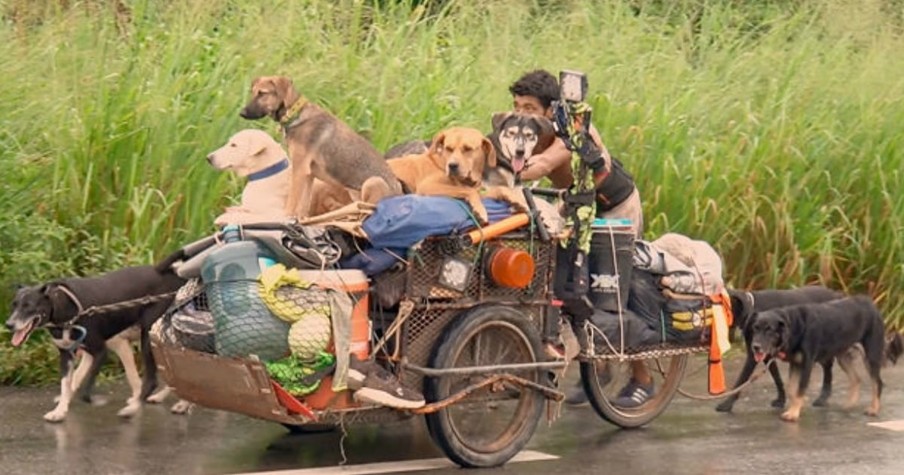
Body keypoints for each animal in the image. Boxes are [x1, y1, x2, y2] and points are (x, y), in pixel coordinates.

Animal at [238, 76, 400, 219]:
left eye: (262, 93)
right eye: (253, 92)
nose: (241, 113)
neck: (294, 114)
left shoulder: (299, 169)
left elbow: (292, 202)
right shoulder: (309, 174)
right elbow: (303, 206)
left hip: (373, 182)